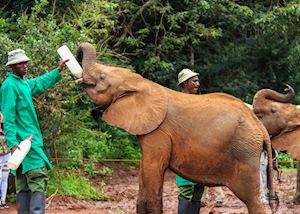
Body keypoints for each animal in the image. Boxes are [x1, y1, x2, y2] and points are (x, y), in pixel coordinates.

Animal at [76, 42, 278, 213]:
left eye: (102, 77)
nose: (76, 54)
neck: (142, 84)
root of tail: (259, 126)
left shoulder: (158, 133)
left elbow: (152, 171)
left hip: (244, 151)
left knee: (252, 199)